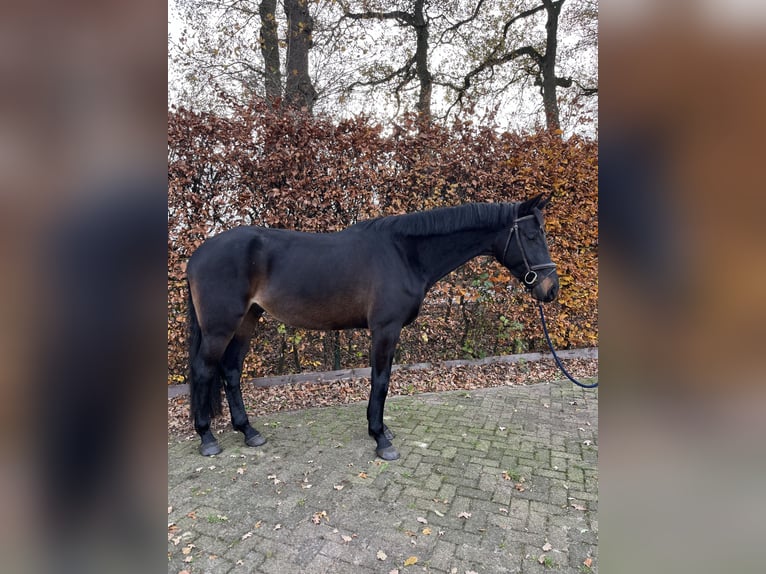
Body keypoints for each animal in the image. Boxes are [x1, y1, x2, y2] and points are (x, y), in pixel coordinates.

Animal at [186, 193, 559, 460]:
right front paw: (381, 439)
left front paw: (381, 430)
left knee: (231, 371)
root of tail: (197, 255)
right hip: (221, 327)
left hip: (248, 320)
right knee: (204, 371)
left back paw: (249, 432)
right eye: (531, 235)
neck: (404, 253)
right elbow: (380, 381)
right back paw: (207, 438)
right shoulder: (385, 329)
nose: (551, 289)